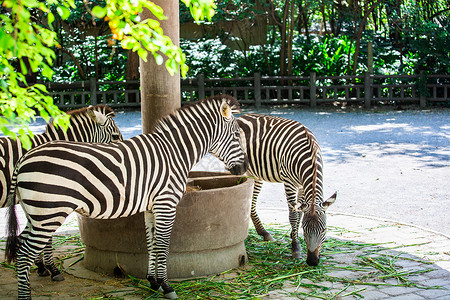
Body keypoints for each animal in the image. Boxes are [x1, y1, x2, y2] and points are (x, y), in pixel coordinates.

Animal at [237, 113, 336, 266]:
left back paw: (263, 232)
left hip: (256, 173)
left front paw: (293, 234)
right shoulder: (289, 183)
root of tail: (243, 116)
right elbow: (293, 215)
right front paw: (295, 247)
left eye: (324, 230)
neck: (310, 156)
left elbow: (300, 213)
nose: (312, 261)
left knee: (251, 203)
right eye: (305, 229)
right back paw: (263, 232)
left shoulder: (302, 186)